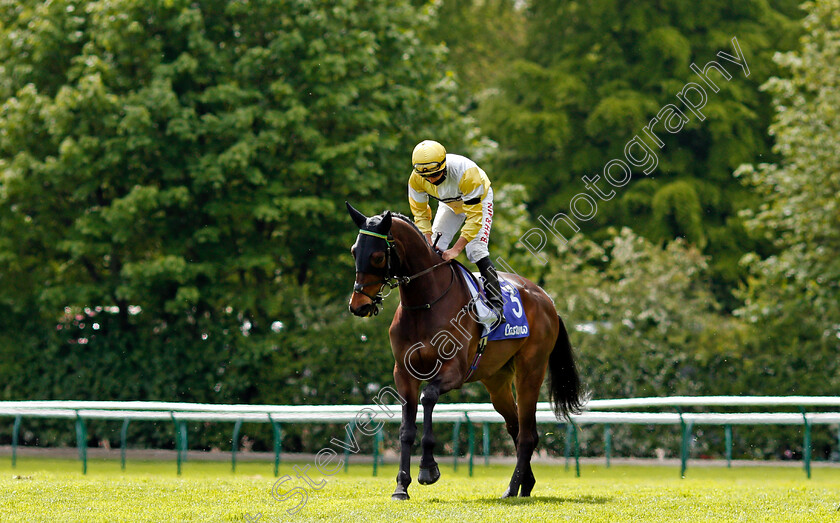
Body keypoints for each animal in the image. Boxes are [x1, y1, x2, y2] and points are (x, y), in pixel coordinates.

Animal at [344, 203, 580, 502]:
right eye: (354, 251)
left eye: (376, 256)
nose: (358, 305)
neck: (425, 303)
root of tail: (547, 301)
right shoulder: (404, 374)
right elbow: (406, 430)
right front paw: (401, 486)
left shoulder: (453, 372)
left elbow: (428, 397)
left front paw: (428, 469)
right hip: (497, 381)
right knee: (515, 428)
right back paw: (525, 484)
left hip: (531, 371)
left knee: (528, 434)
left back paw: (512, 488)